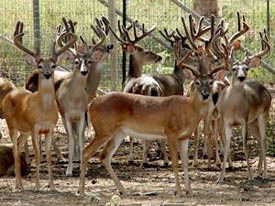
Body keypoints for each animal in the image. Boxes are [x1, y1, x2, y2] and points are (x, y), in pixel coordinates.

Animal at [1, 20, 77, 190]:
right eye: (40, 66)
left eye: (54, 65)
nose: (47, 74)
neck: (44, 111)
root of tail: (10, 94)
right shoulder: (34, 127)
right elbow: (37, 155)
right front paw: (37, 186)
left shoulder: (49, 128)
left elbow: (48, 156)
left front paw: (52, 186)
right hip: (11, 125)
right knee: (14, 149)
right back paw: (17, 186)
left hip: (24, 131)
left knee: (18, 145)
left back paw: (20, 184)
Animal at [77, 21, 229, 196]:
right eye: (197, 83)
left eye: (210, 82)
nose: (205, 94)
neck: (187, 109)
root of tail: (91, 105)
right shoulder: (170, 132)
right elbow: (175, 162)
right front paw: (178, 191)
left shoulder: (184, 136)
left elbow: (185, 162)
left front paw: (189, 190)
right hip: (103, 129)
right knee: (86, 152)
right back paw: (81, 191)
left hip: (118, 132)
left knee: (104, 155)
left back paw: (123, 190)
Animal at [217, 28, 272, 183]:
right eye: (234, 68)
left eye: (246, 68)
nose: (241, 78)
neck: (233, 107)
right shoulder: (227, 121)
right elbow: (226, 147)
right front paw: (221, 177)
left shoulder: (244, 120)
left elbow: (245, 146)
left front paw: (250, 176)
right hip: (253, 122)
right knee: (259, 140)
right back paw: (259, 172)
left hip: (263, 114)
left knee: (263, 140)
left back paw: (264, 174)